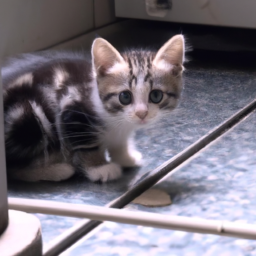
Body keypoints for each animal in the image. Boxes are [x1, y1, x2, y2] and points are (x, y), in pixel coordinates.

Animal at [3, 34, 185, 182]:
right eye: (125, 97)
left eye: (156, 95)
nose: (142, 113)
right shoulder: (72, 109)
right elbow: (87, 145)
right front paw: (100, 168)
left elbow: (120, 142)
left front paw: (125, 157)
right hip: (28, 118)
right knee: (13, 167)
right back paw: (57, 170)